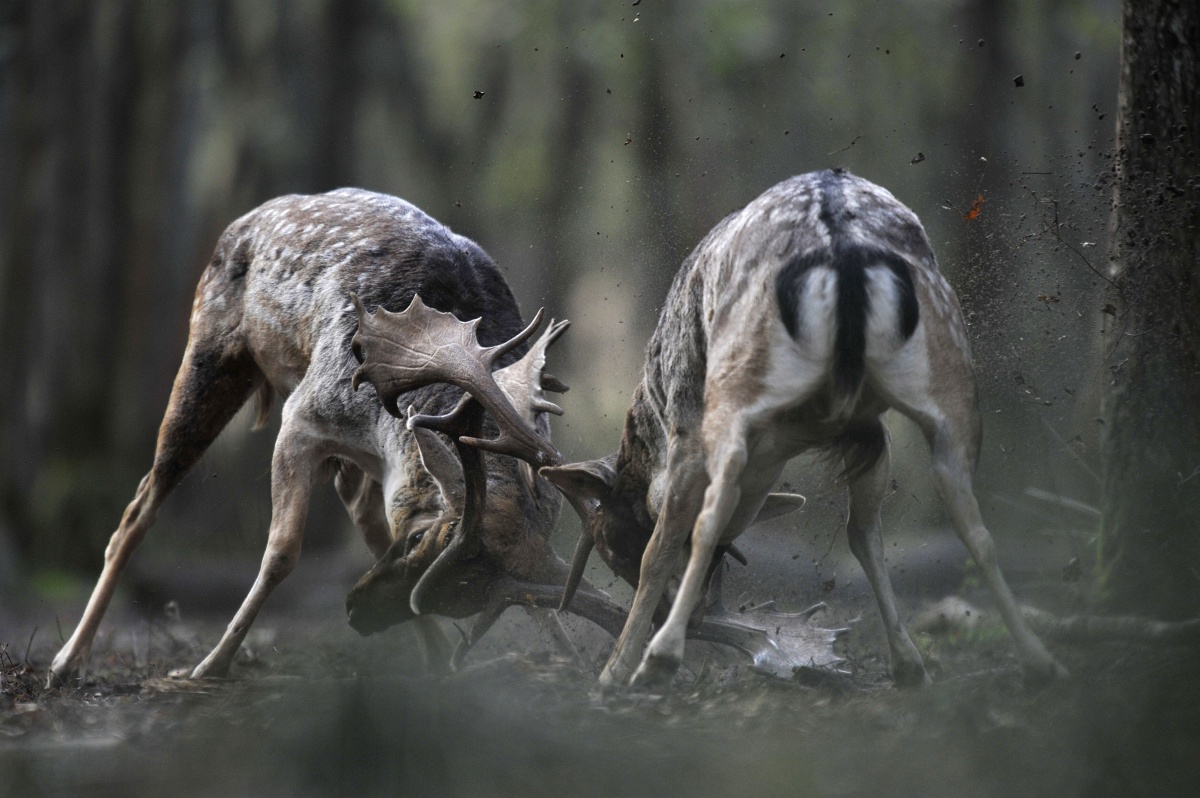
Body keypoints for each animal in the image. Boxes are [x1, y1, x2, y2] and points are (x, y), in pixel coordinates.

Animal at [544, 166, 1070, 686]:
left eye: (611, 545)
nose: (687, 619)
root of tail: (843, 249)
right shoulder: (870, 429)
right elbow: (862, 533)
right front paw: (908, 663)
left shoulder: (686, 423)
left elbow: (666, 544)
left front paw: (613, 673)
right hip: (951, 369)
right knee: (974, 523)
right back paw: (1039, 660)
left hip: (733, 386)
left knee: (711, 512)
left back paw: (657, 660)